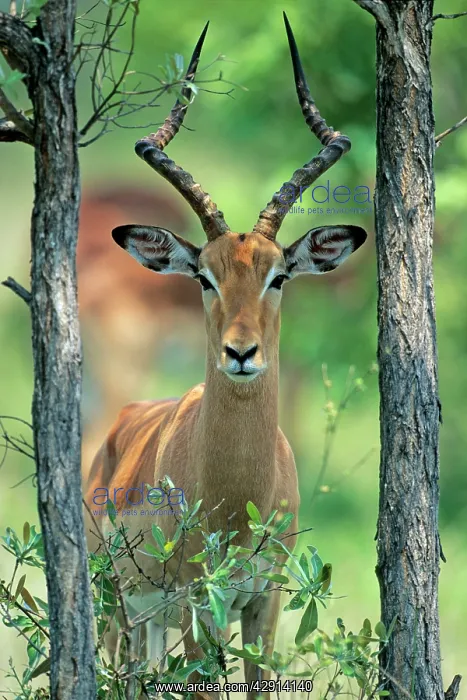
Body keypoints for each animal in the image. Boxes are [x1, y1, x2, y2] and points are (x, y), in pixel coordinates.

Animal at [84, 13, 367, 696]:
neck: (237, 499)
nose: (242, 353)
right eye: (204, 277)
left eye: (279, 276)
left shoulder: (264, 602)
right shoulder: (197, 601)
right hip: (119, 611)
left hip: (150, 623)